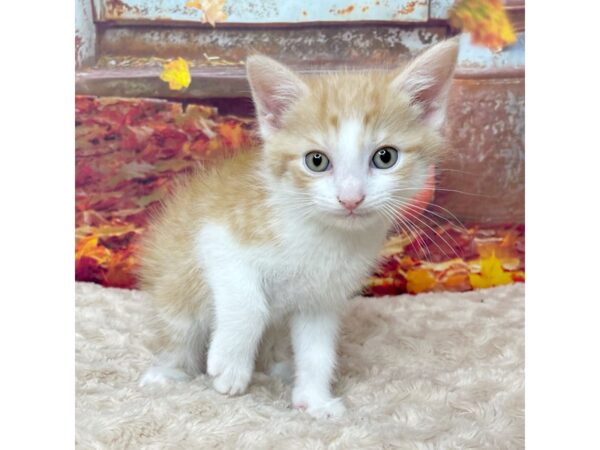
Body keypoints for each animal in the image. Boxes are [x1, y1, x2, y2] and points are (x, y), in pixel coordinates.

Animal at [138, 38, 460, 418]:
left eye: (385, 157)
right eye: (316, 161)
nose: (351, 198)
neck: (322, 233)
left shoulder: (321, 298)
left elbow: (318, 351)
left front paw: (315, 399)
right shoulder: (218, 237)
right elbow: (248, 302)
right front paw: (230, 364)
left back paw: (280, 366)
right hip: (177, 288)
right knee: (178, 333)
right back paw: (167, 372)